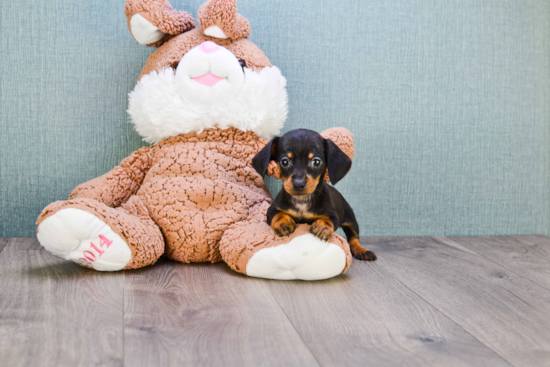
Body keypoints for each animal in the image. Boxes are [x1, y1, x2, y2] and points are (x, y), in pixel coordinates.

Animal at [254, 129, 380, 262]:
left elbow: (329, 220)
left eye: (316, 162)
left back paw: (362, 250)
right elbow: (277, 214)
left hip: (350, 219)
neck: (302, 201)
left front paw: (322, 227)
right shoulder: (272, 209)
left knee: (354, 238)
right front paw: (283, 222)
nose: (298, 184)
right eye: (284, 161)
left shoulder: (333, 215)